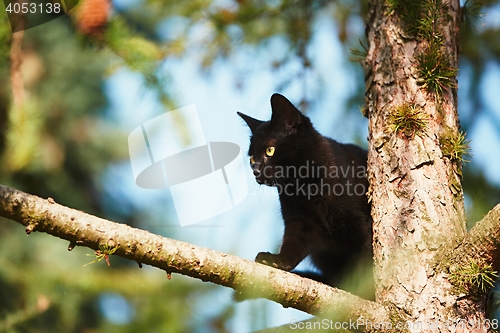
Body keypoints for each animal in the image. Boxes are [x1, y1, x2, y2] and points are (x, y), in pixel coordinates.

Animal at [240, 92, 374, 294]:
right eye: (252, 159)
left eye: (270, 150)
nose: (256, 171)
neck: (305, 187)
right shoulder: (300, 220)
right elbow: (292, 245)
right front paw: (276, 260)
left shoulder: (362, 222)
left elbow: (365, 258)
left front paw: (360, 288)